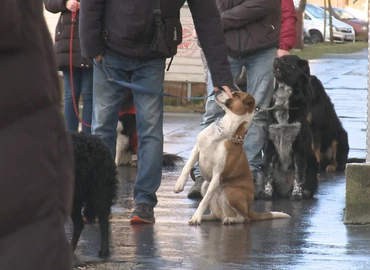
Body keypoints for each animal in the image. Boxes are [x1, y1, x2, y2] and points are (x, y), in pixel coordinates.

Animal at [175, 89, 290, 225]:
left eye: (235, 95)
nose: (217, 89)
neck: (223, 131)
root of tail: (249, 209)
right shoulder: (197, 149)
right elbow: (187, 167)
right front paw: (179, 184)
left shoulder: (218, 174)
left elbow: (204, 200)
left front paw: (196, 217)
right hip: (205, 185)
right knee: (216, 215)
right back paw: (209, 217)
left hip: (231, 192)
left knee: (245, 218)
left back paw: (230, 219)